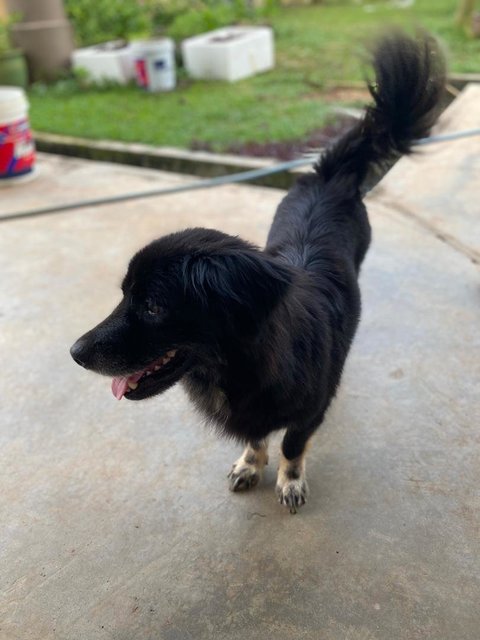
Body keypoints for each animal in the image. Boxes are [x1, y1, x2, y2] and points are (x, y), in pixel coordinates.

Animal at [72, 33, 446, 516]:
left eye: (152, 306)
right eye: (123, 294)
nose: (74, 353)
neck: (236, 369)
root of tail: (331, 176)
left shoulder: (309, 413)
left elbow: (291, 445)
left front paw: (290, 480)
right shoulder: (250, 414)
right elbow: (255, 437)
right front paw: (251, 464)